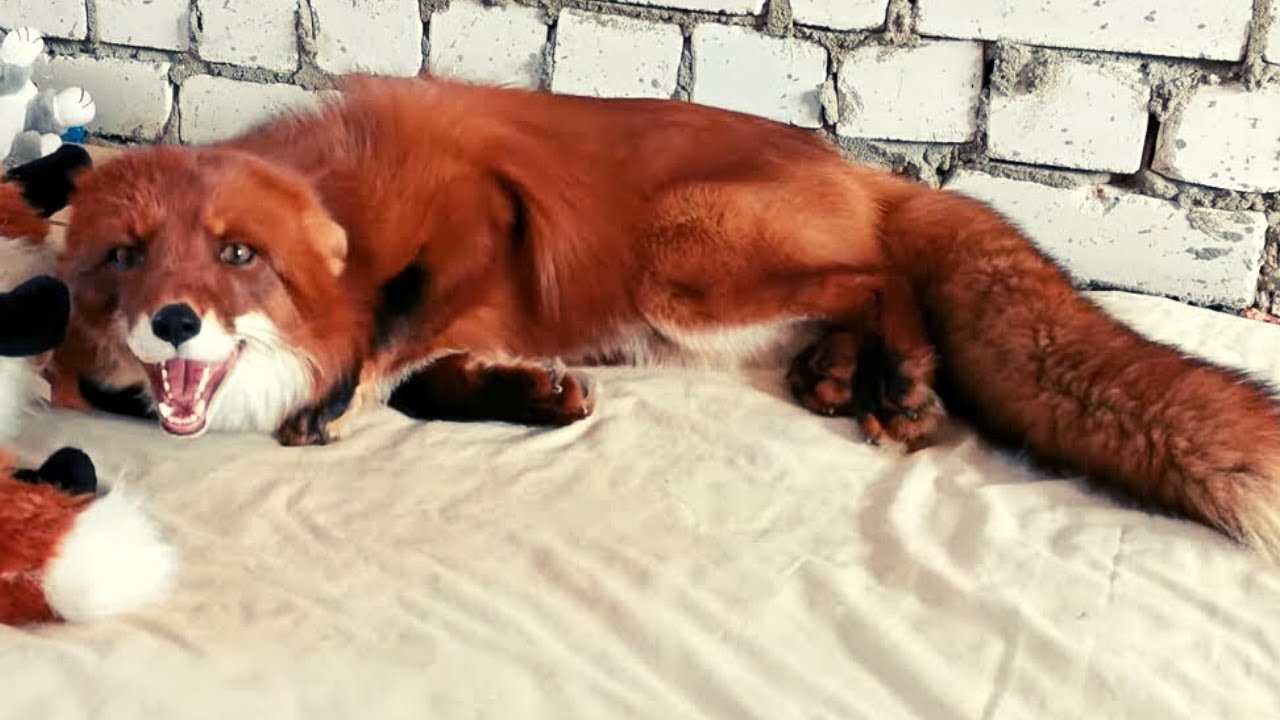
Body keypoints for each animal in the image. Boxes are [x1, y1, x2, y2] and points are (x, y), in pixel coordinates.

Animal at [47, 74, 1280, 560]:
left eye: (237, 258)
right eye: (124, 260)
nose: (169, 325)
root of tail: (856, 166)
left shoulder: (478, 207)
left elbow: (395, 340)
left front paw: (339, 396)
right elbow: (440, 383)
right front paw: (530, 398)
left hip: (677, 270)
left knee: (883, 279)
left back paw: (903, 381)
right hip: (700, 315)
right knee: (841, 308)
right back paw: (841, 378)